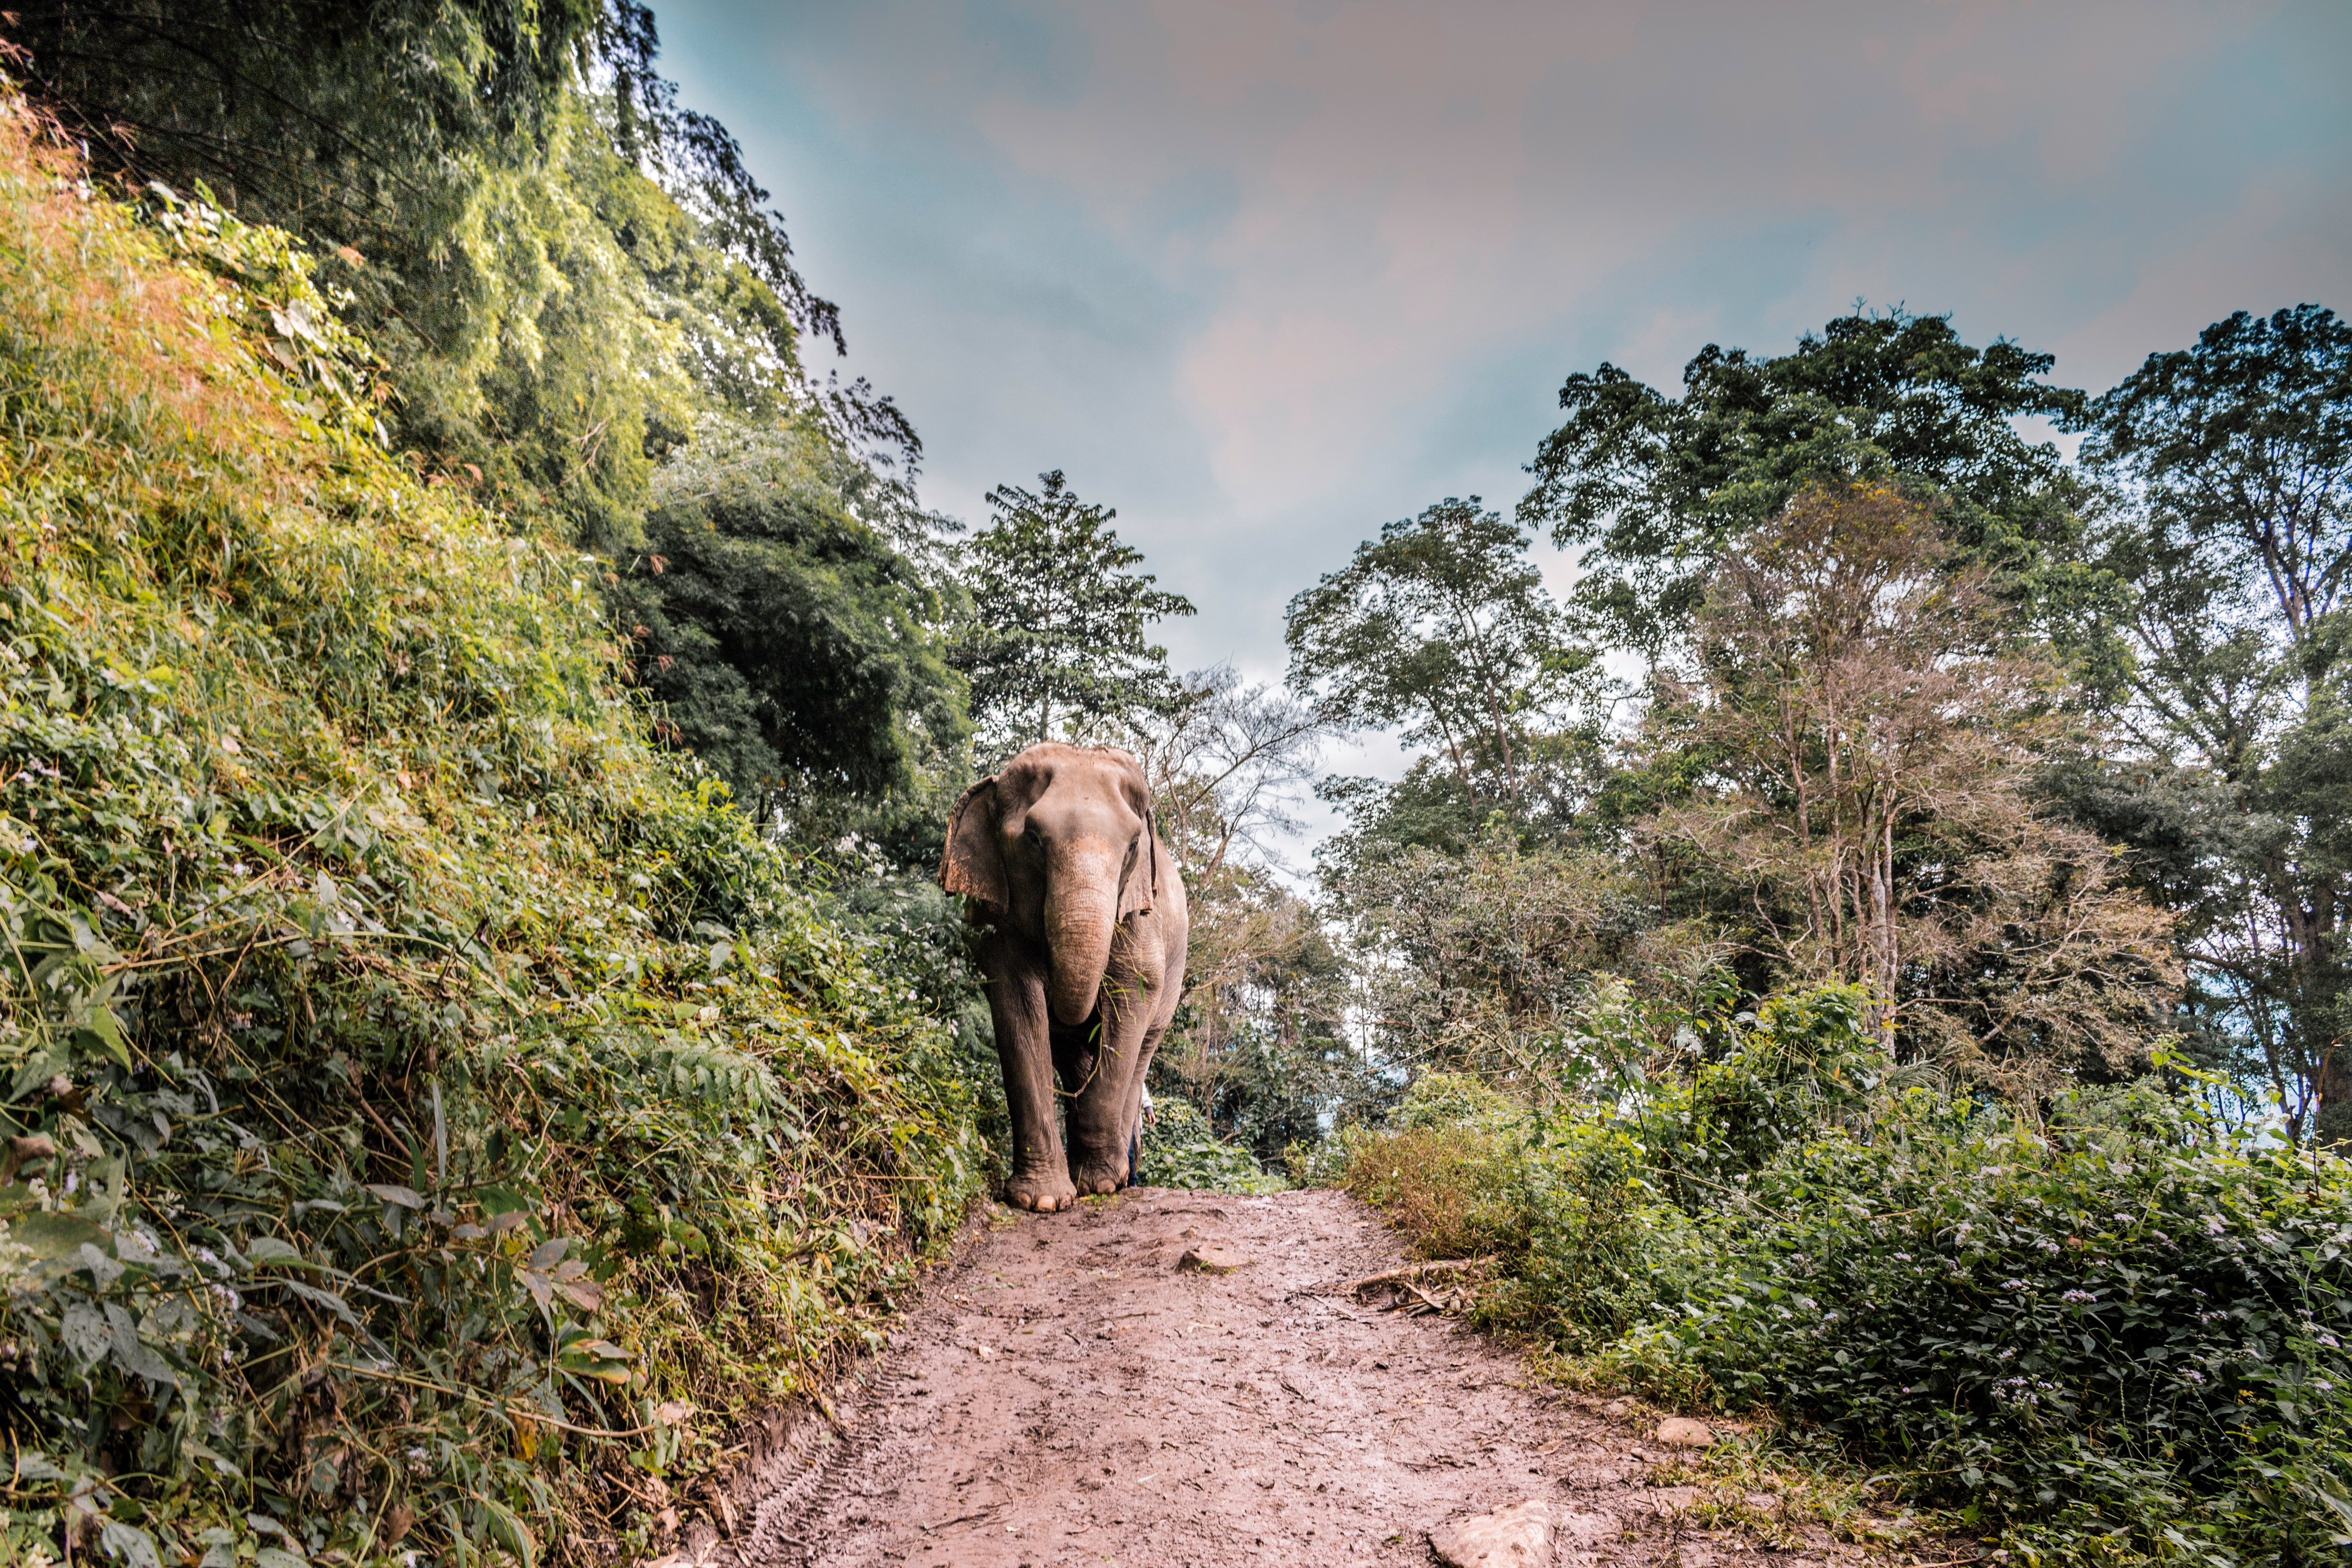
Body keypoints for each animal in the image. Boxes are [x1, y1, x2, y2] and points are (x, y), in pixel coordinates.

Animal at [941, 743, 1185, 1213]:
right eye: (1033, 840)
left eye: (1132, 846)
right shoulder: (1000, 925)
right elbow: (1017, 1005)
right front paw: (1042, 1201)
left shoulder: (1139, 917)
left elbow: (1132, 996)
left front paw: (1100, 1186)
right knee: (1073, 1058)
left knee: (1141, 1048)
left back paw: (1116, 1176)